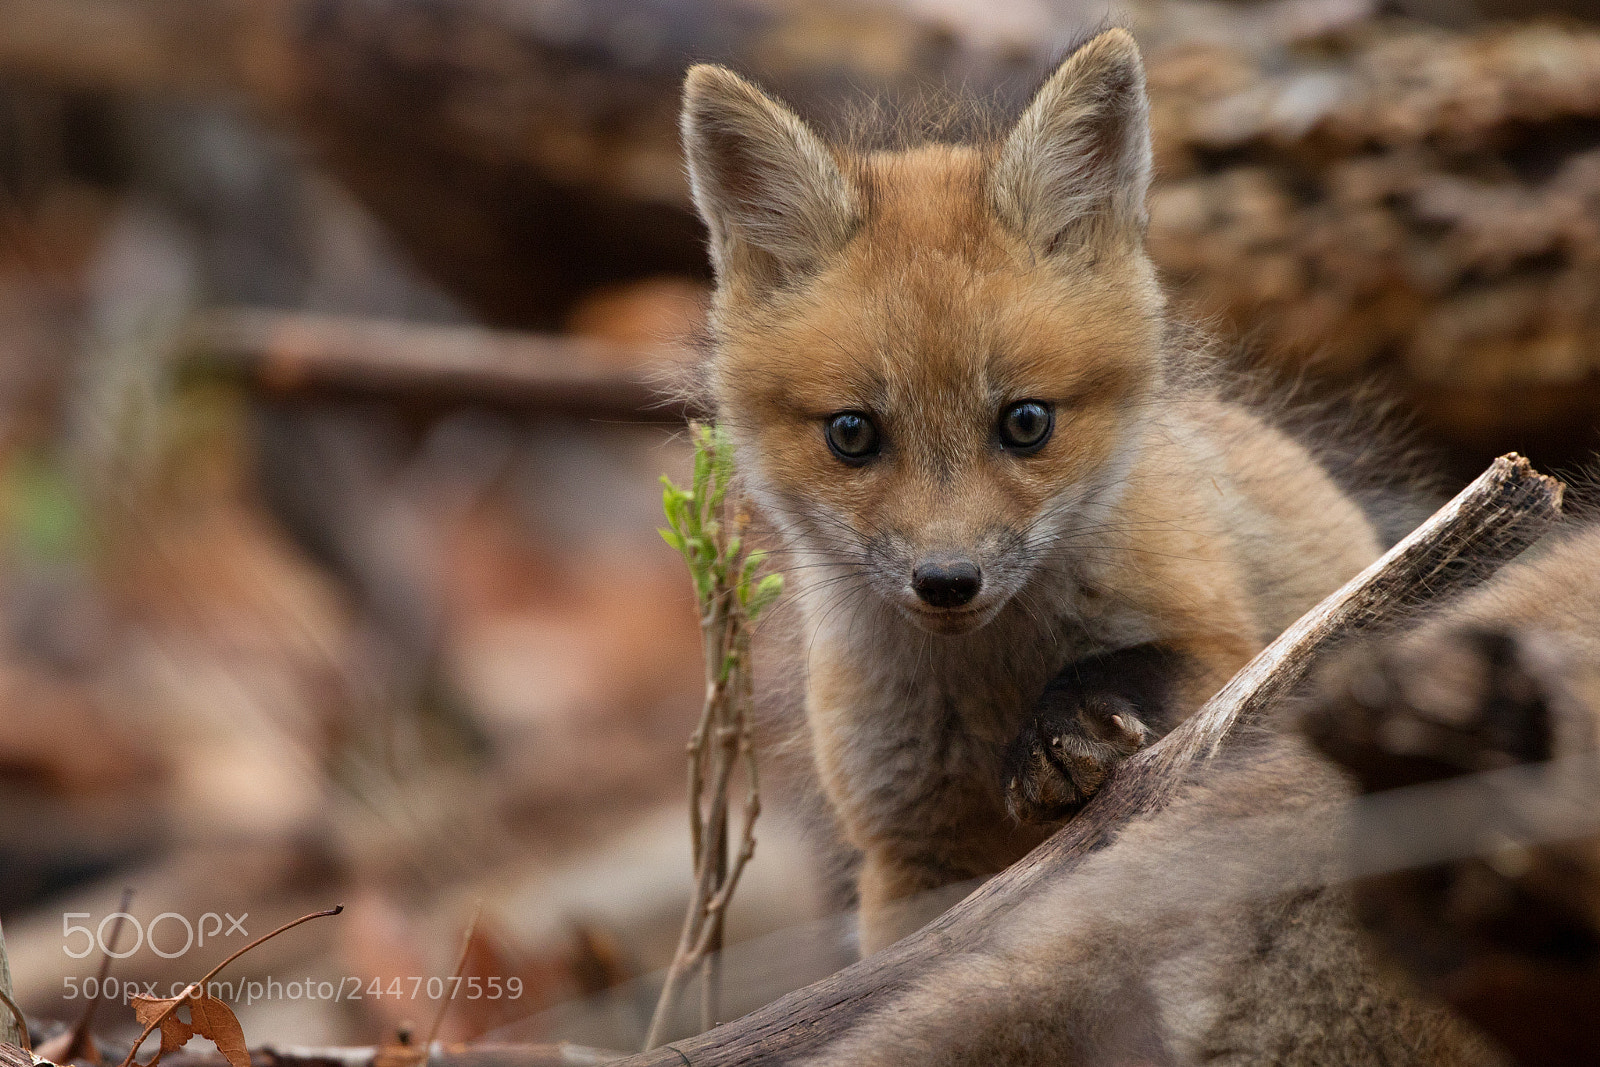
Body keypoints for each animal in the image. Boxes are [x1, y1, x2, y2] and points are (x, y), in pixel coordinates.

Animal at [679, 28, 1388, 955]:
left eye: (1025, 422)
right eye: (852, 433)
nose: (947, 581)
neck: (989, 681)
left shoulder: (1234, 651)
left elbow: (1157, 663)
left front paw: (1070, 724)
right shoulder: (909, 853)